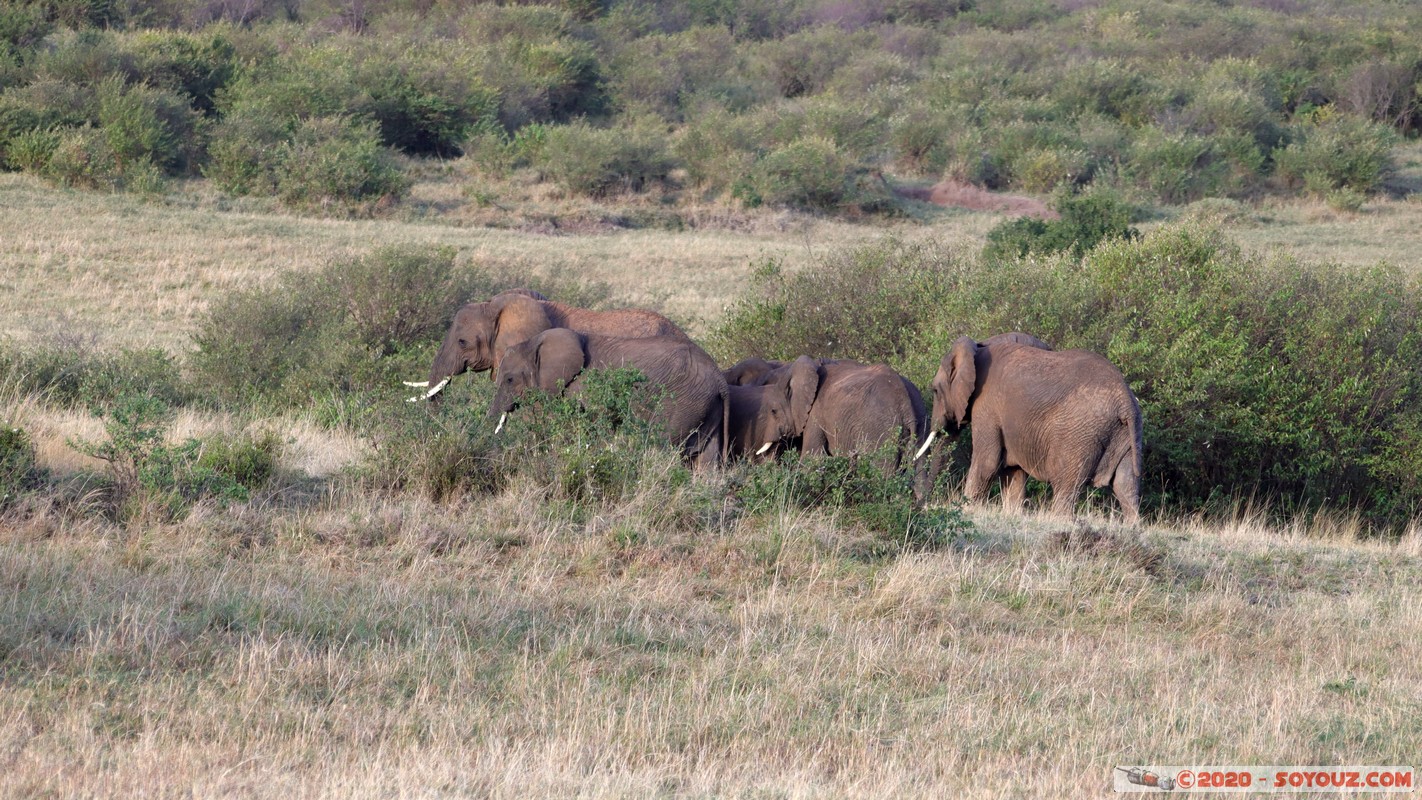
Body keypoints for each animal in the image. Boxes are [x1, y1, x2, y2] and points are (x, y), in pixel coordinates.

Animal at [492, 326, 733, 466]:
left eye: (509, 379)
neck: (533, 342)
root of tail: (720, 380)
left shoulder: (584, 384)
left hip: (683, 402)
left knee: (662, 445)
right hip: (705, 404)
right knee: (707, 460)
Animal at [921, 333, 1143, 525]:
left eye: (935, 390)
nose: (923, 504)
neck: (978, 347)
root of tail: (1125, 401)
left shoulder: (987, 404)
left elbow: (988, 462)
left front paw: (967, 510)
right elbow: (1014, 470)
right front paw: (1011, 514)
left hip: (1081, 434)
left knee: (1067, 480)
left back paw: (1060, 521)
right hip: (1125, 434)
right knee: (1125, 484)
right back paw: (1132, 527)